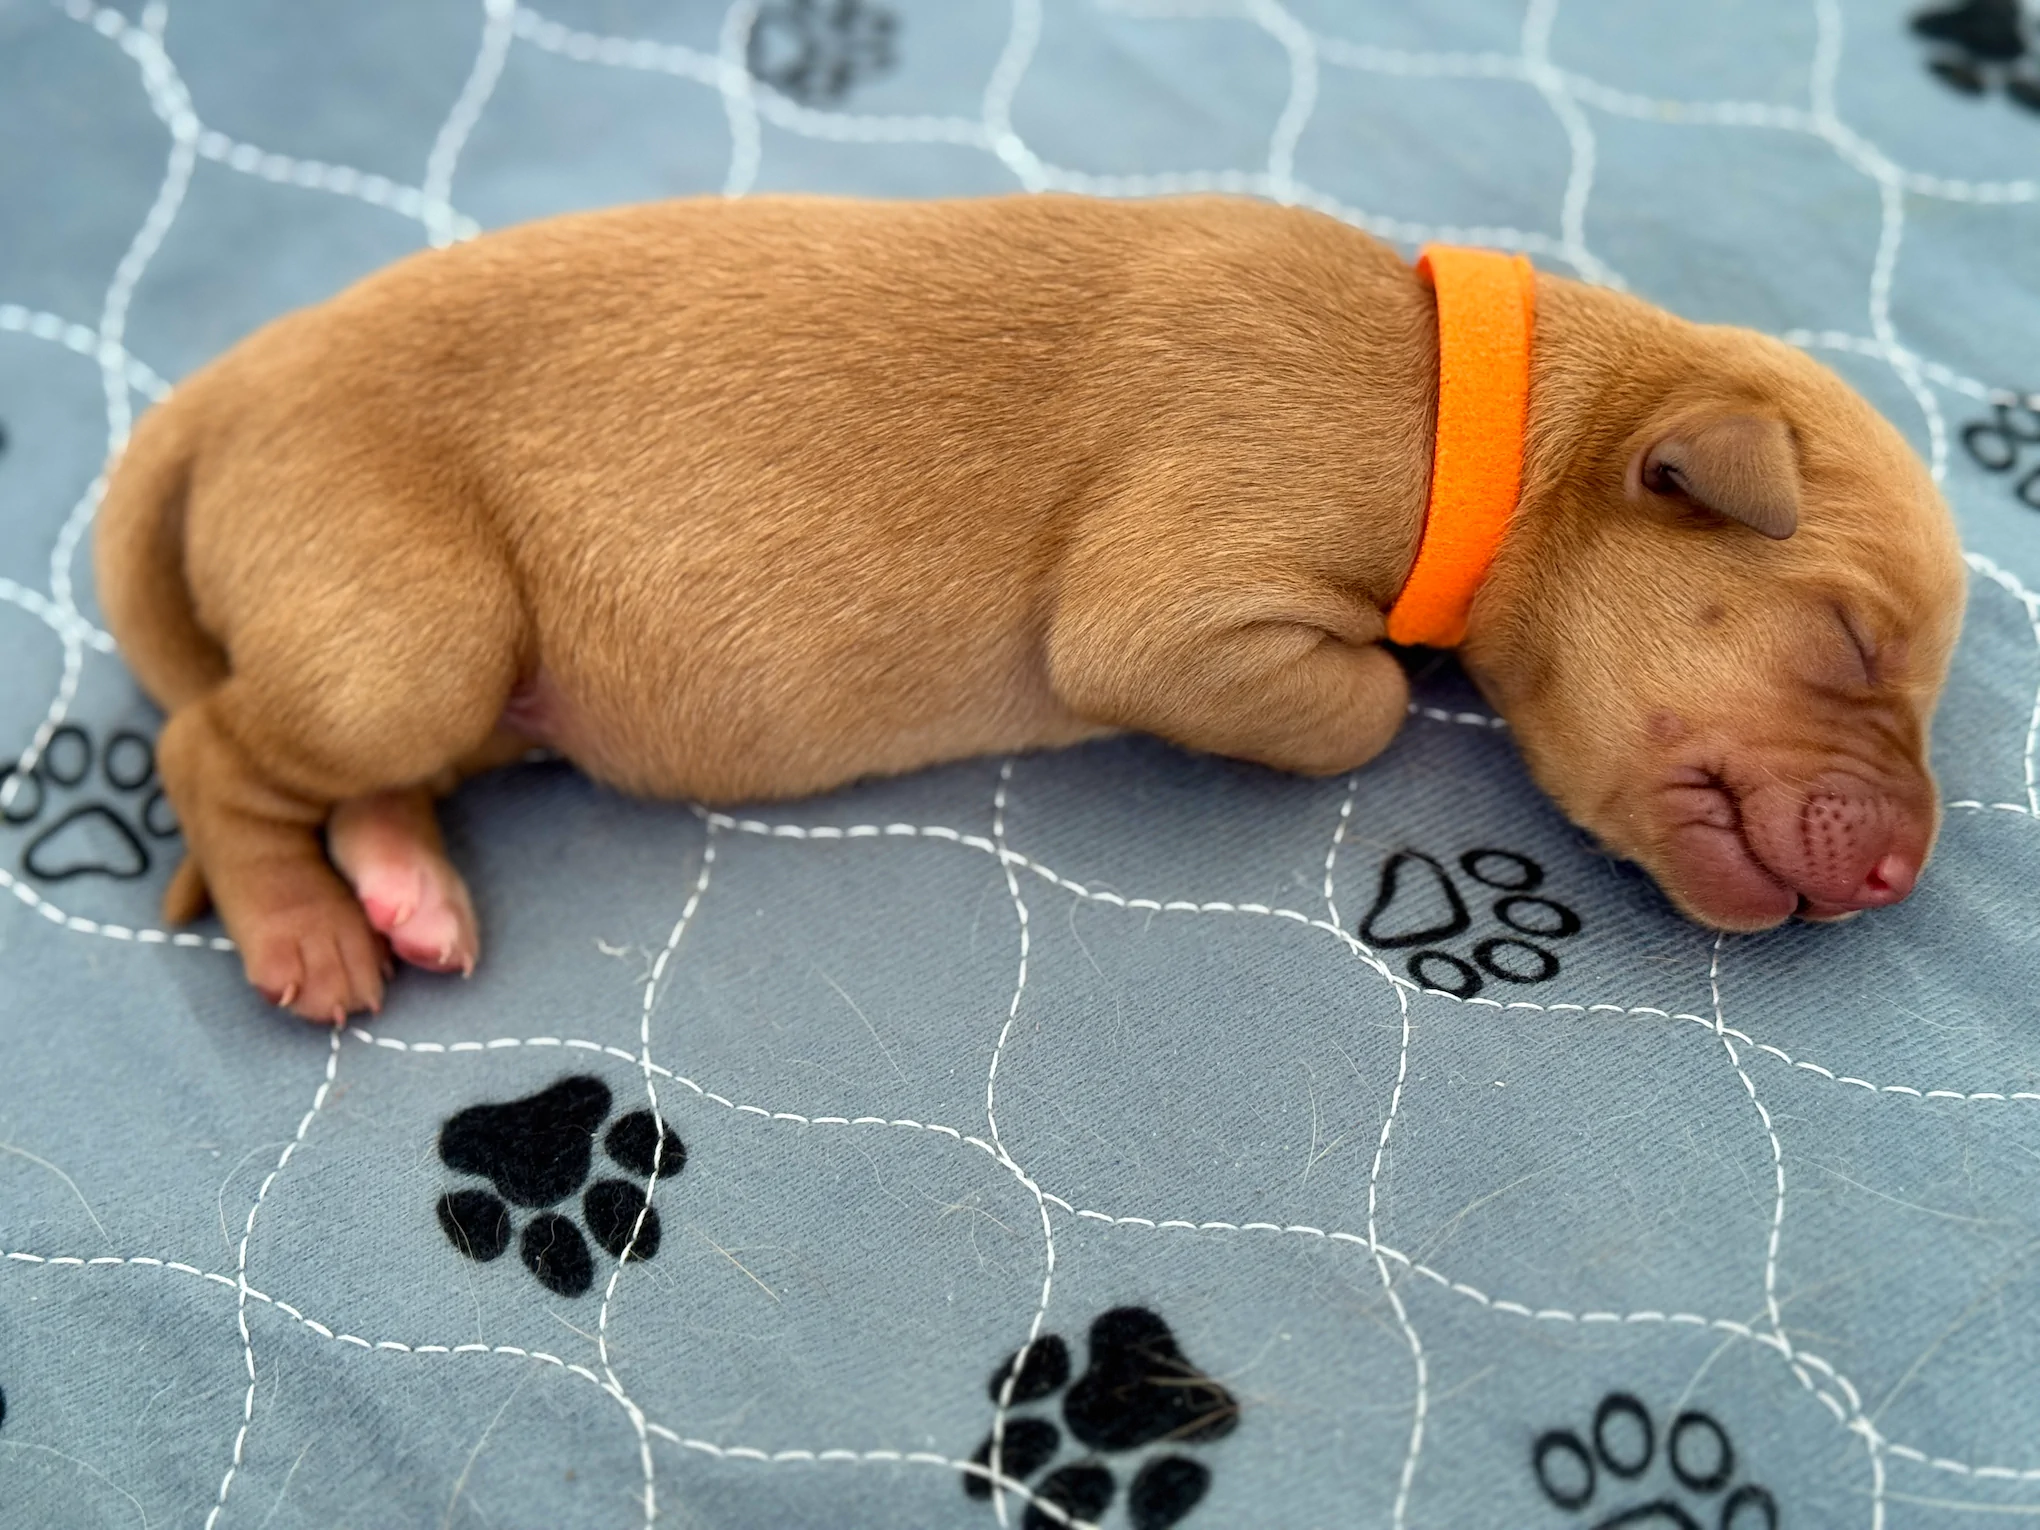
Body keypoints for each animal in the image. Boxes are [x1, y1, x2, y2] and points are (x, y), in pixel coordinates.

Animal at [91, 194, 1958, 1032]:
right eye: (1855, 643)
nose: (1904, 870)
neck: (1478, 408)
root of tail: (224, 393)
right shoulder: (1192, 574)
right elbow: (1350, 697)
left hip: (432, 660)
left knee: (339, 764)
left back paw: (400, 884)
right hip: (409, 620)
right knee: (214, 747)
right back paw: (310, 933)